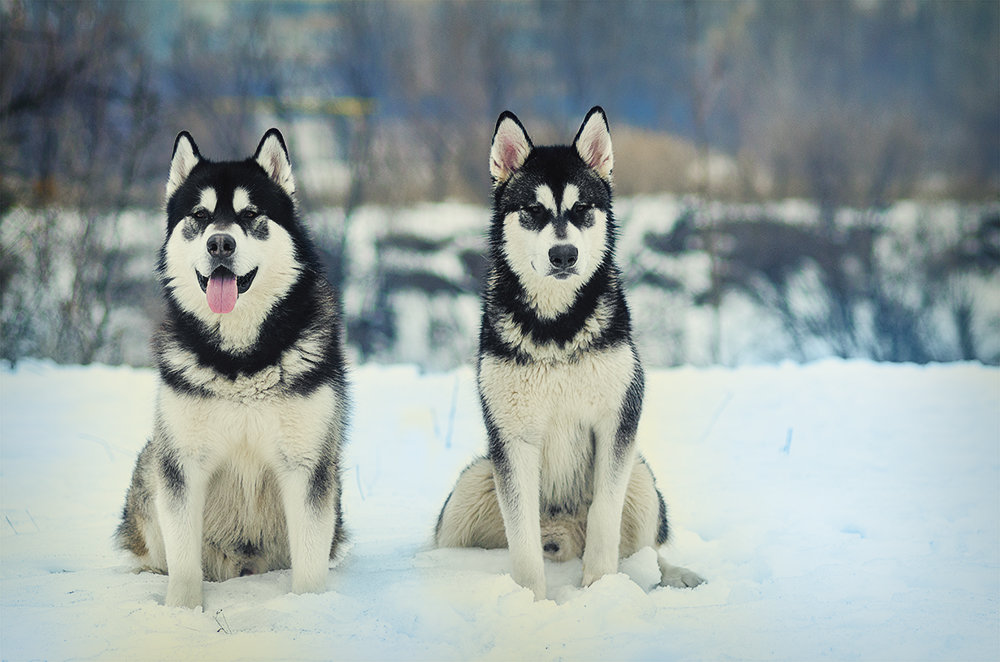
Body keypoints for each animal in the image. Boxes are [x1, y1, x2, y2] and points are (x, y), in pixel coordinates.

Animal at [117, 130, 350, 612]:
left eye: (250, 215)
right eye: (200, 216)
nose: (220, 244)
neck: (241, 360)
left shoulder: (307, 464)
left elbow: (310, 562)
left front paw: (310, 610)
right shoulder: (182, 463)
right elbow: (184, 563)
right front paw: (182, 614)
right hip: (152, 466)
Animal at [436, 109, 704, 600]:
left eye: (582, 211)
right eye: (533, 212)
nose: (564, 254)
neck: (556, 329)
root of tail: (563, 533)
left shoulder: (616, 421)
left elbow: (605, 515)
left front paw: (600, 590)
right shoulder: (512, 437)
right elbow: (521, 535)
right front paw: (531, 602)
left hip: (641, 478)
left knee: (647, 547)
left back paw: (672, 575)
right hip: (471, 484)